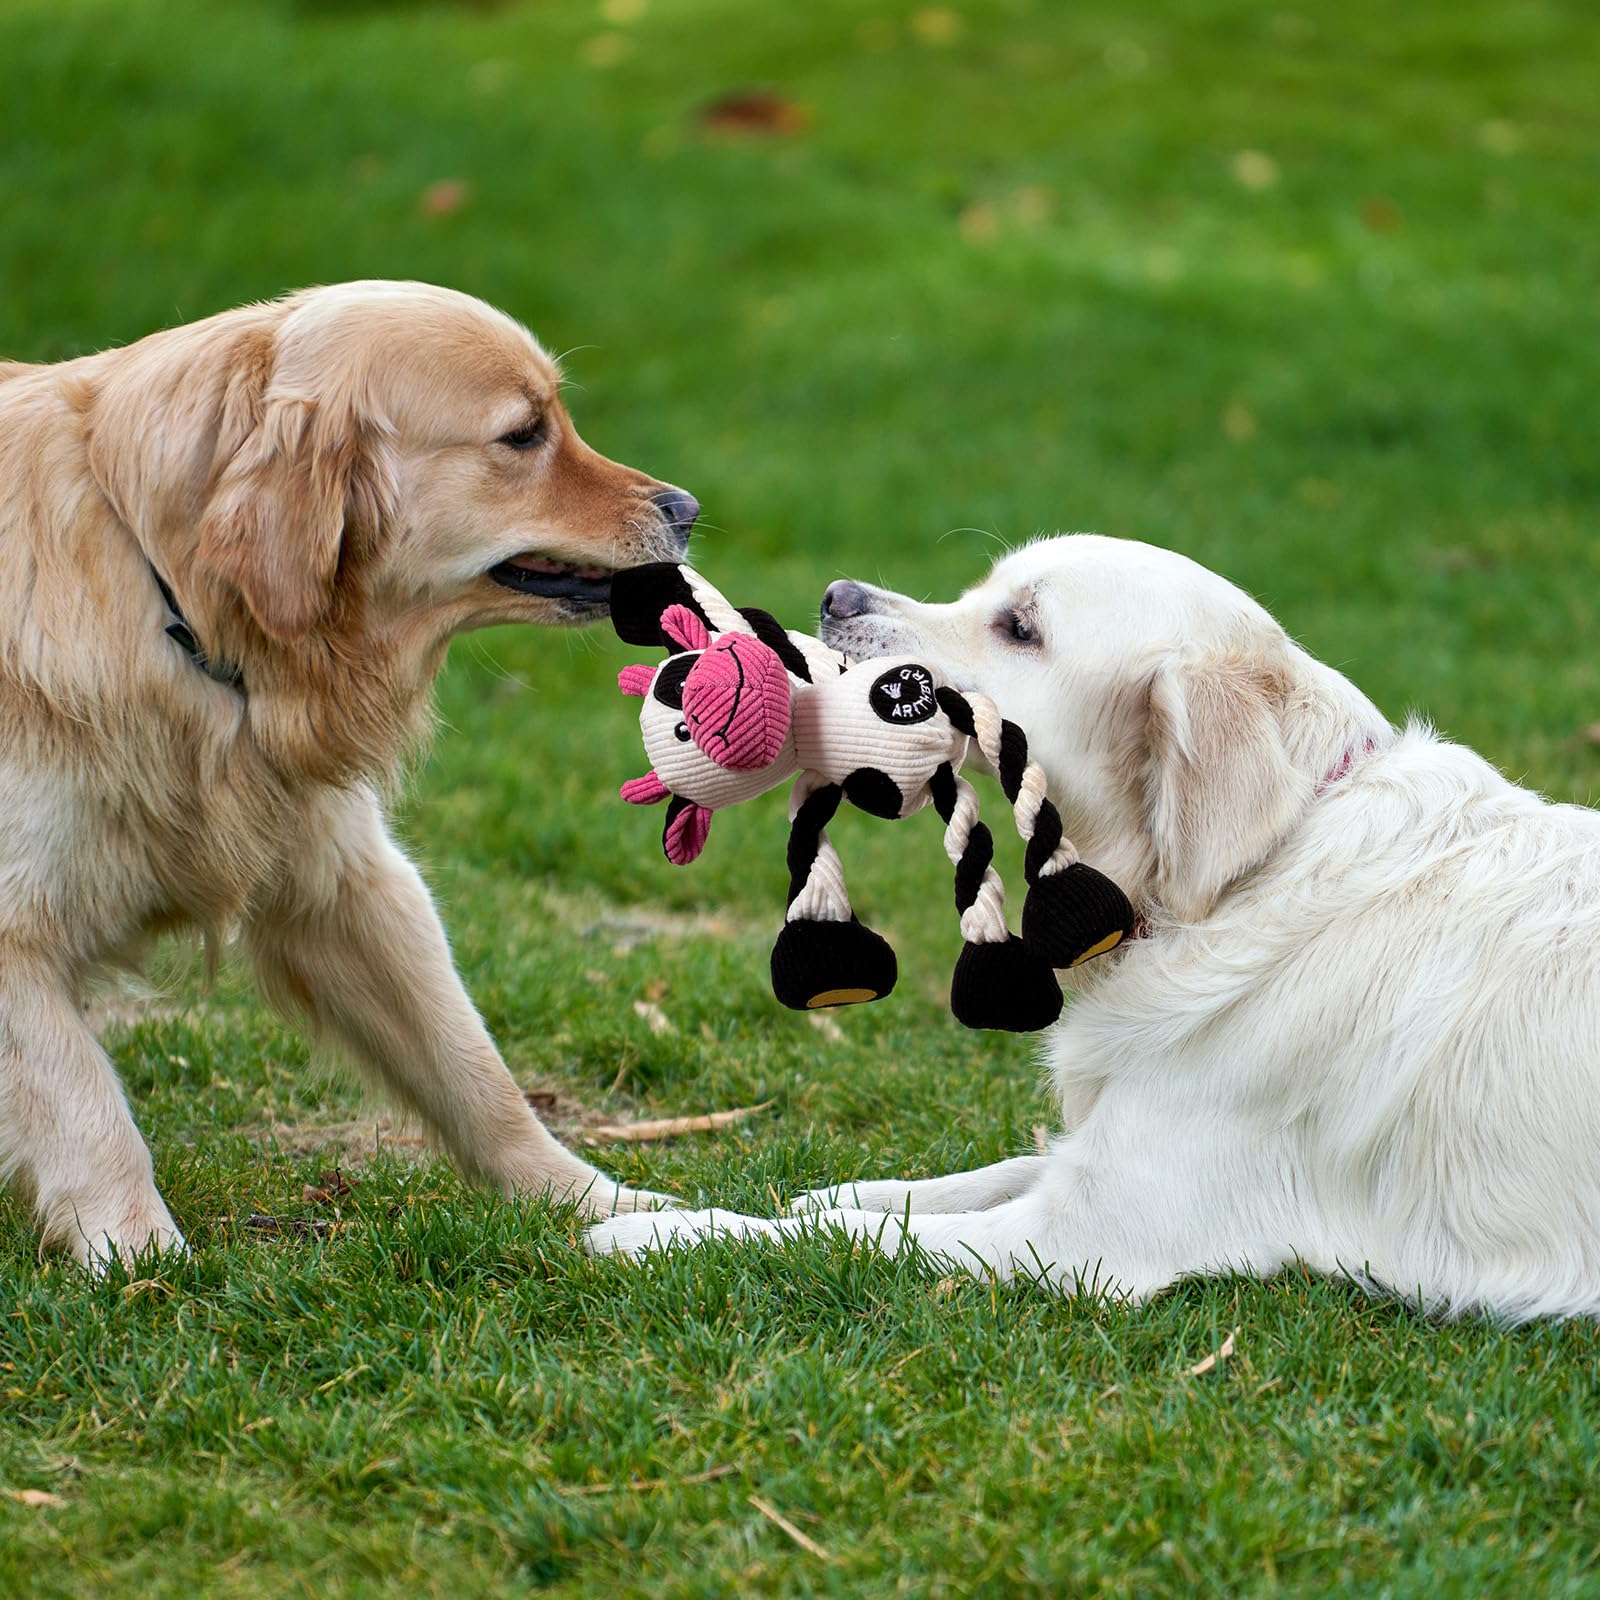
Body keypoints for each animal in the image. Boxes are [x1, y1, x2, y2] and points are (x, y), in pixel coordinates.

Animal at [3, 281, 697, 1267]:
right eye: (525, 434)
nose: (686, 507)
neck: (176, 599)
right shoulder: (14, 941)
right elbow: (85, 1105)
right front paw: (139, 1258)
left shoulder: (348, 881)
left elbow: (474, 1070)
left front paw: (594, 1201)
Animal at [592, 537, 1600, 1324]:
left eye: (1020, 628)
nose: (838, 596)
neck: (1241, 882)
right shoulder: (1091, 1163)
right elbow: (956, 1181)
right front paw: (830, 1187)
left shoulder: (1088, 1235)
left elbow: (857, 1235)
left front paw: (662, 1230)